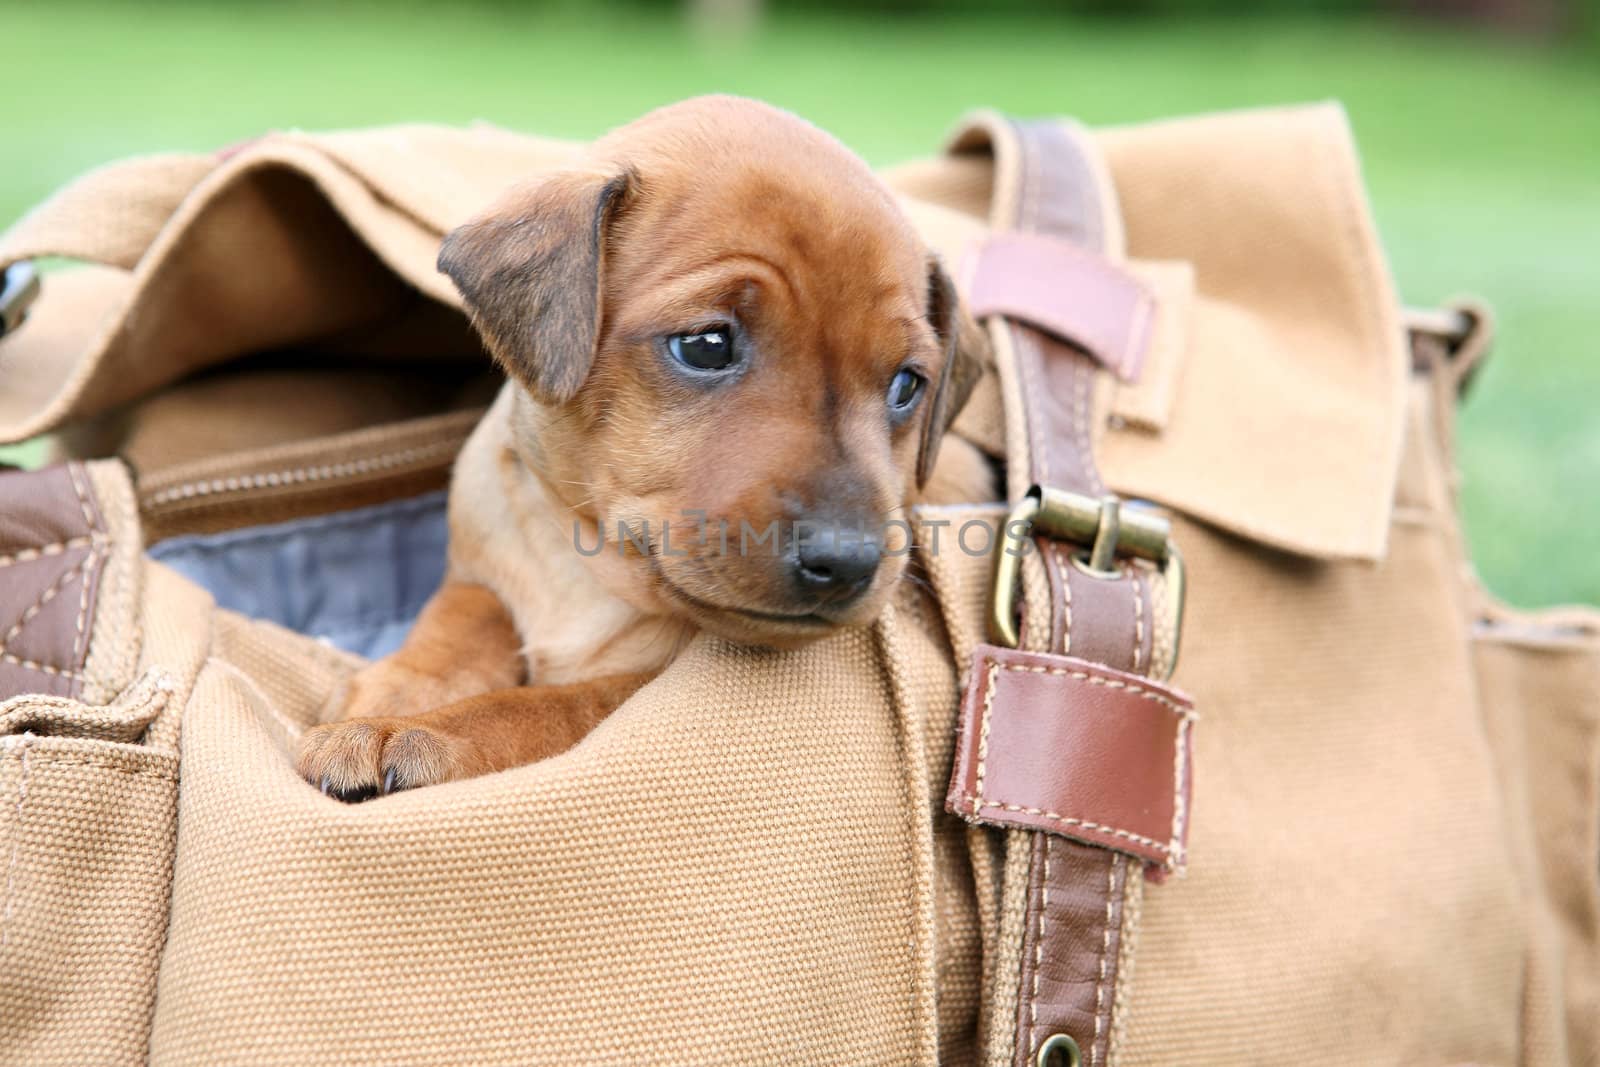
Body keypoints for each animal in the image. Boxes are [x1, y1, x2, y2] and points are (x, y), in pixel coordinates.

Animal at [289, 97, 985, 799]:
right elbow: (463, 616)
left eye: (906, 385)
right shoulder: (478, 566)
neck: (586, 563)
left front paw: (418, 731)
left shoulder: (641, 694)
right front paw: (400, 687)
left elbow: (543, 707)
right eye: (705, 345)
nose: (845, 561)